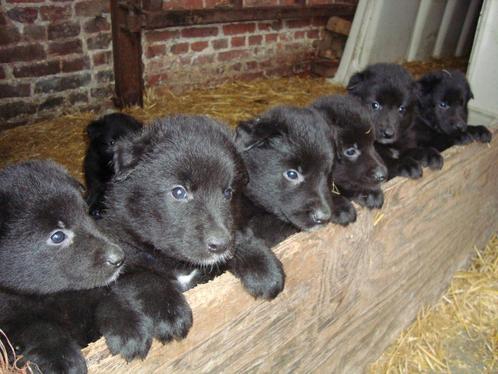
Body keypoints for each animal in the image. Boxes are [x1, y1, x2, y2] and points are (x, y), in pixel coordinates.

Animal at [0, 161, 124, 374]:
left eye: (86, 213)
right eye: (57, 236)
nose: (119, 258)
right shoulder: (8, 317)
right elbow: (36, 328)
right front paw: (63, 360)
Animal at [96, 115, 284, 360]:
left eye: (228, 192)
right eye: (179, 192)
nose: (220, 245)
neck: (179, 264)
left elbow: (241, 236)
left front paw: (262, 266)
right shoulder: (122, 254)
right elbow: (143, 277)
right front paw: (167, 312)